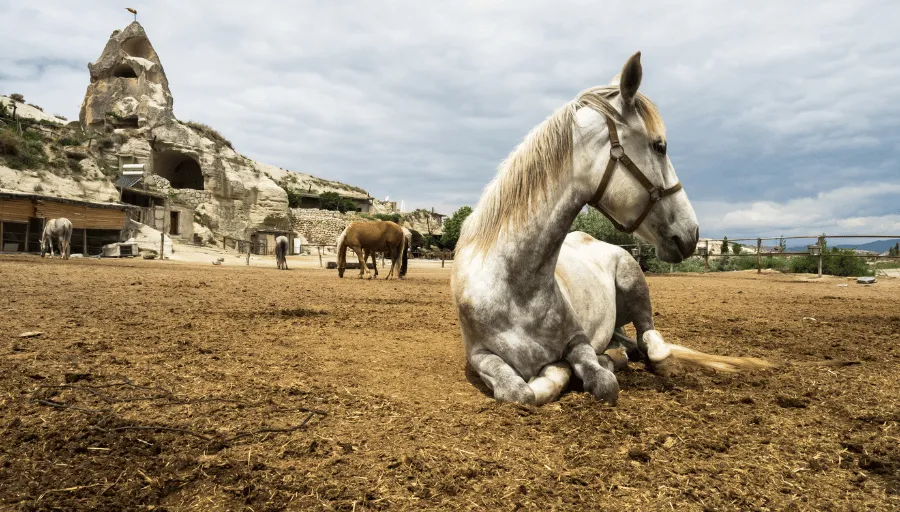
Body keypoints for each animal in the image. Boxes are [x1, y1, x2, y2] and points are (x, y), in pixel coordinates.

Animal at [453, 52, 706, 406]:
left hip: (633, 279)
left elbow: (598, 379)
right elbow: (520, 393)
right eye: (659, 146)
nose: (691, 233)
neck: (514, 292)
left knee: (649, 338)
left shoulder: (578, 341)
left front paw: (581, 368)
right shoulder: (479, 356)